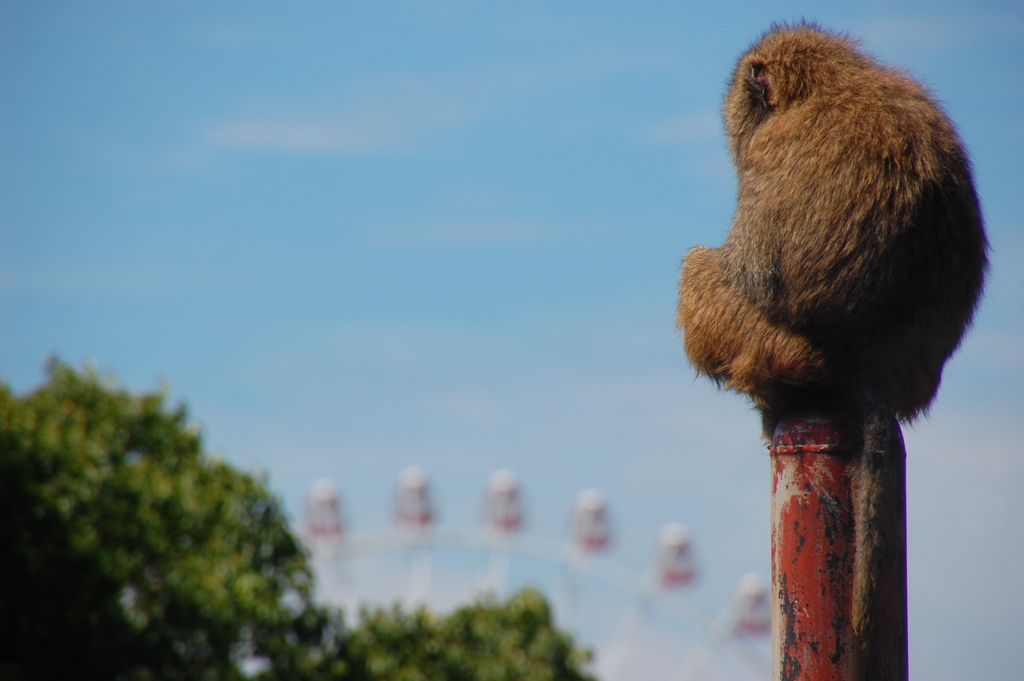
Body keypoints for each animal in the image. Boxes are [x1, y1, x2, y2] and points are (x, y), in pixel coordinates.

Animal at [675, 23, 987, 675]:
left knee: (703, 273)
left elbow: (750, 271)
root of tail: (873, 372)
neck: (833, 82)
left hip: (771, 347)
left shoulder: (774, 151)